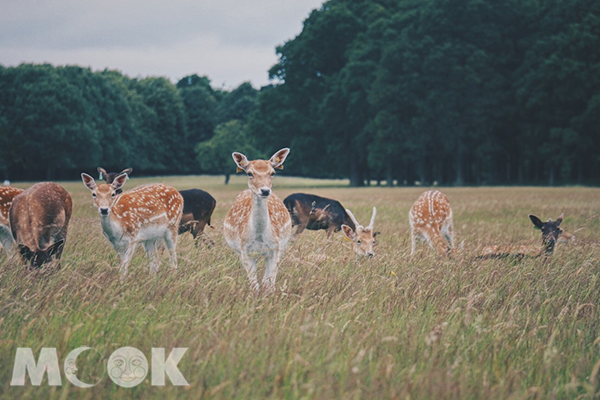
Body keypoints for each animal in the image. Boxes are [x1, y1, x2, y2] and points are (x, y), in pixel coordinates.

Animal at [223, 148, 292, 292]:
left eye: (273, 173)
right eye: (249, 173)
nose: (265, 190)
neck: (260, 235)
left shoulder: (275, 249)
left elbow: (269, 284)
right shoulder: (245, 250)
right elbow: (254, 285)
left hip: (282, 247)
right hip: (238, 251)